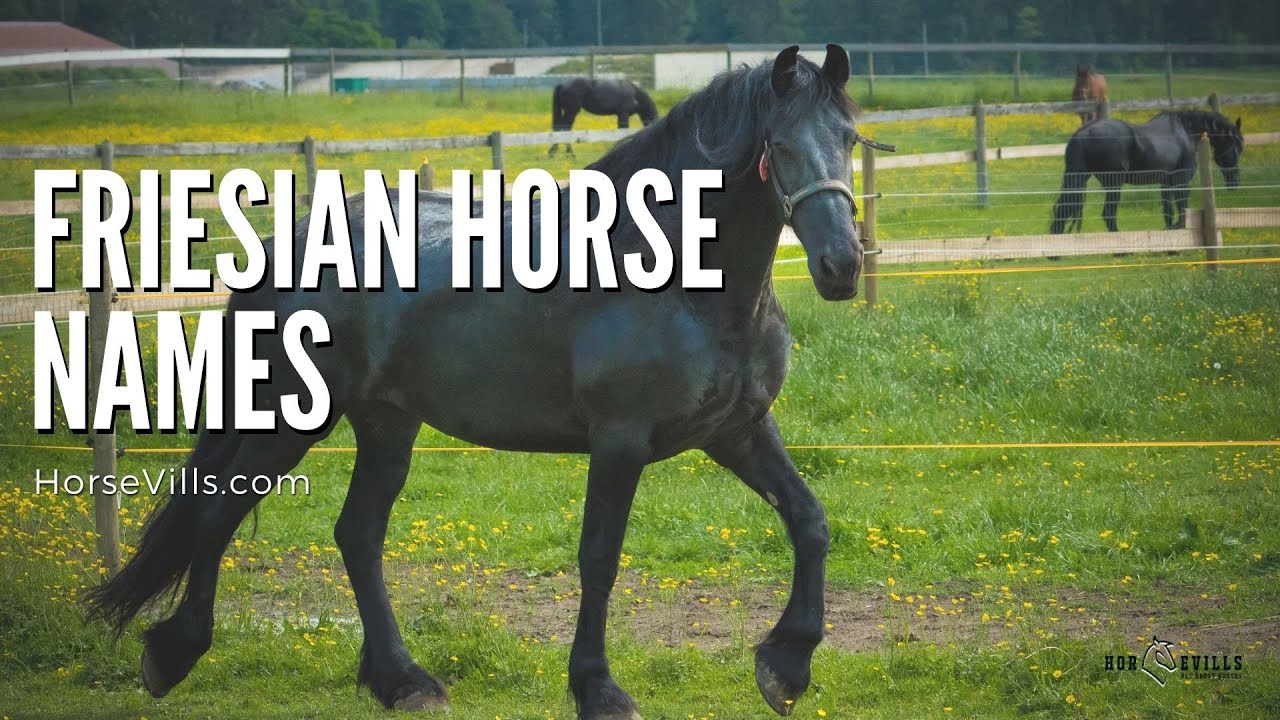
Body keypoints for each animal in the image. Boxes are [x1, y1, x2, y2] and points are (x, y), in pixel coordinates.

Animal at [85, 45, 887, 719]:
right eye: (778, 147)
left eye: (850, 140)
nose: (841, 266)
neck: (684, 282)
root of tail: (288, 243)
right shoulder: (619, 442)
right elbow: (600, 557)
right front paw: (598, 689)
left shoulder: (737, 432)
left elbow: (810, 521)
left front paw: (786, 666)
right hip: (289, 415)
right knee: (220, 512)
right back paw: (173, 654)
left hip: (386, 423)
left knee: (356, 534)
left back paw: (400, 680)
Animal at [1049, 111, 1243, 234]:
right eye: (1237, 146)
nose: (1235, 181)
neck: (1186, 132)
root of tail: (1084, 132)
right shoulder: (1181, 180)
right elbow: (1181, 205)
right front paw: (1180, 227)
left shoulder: (1166, 182)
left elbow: (1168, 208)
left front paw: (1169, 229)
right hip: (1113, 184)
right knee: (1108, 213)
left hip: (1079, 178)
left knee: (1063, 208)